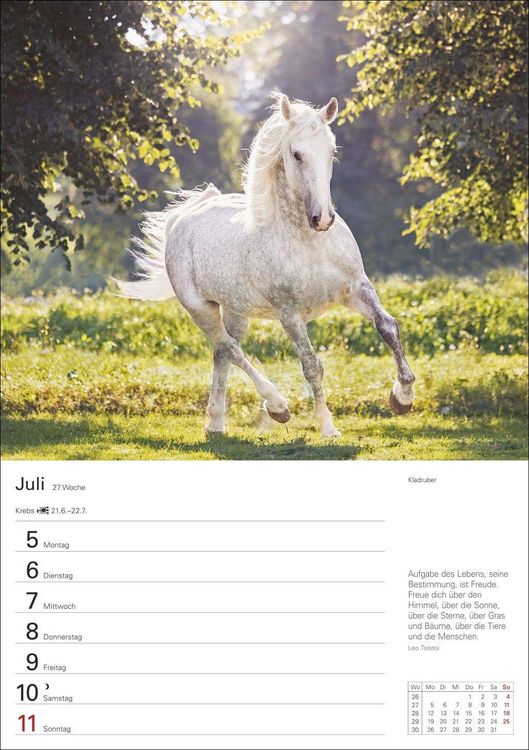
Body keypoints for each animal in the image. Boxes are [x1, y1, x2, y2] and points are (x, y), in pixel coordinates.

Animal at [117, 92, 415, 437]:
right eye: (297, 154)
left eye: (331, 151)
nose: (323, 218)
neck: (309, 244)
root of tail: (182, 217)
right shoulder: (289, 313)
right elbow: (311, 365)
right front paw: (327, 426)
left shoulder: (356, 289)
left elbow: (388, 326)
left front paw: (403, 397)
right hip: (200, 308)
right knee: (230, 348)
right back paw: (276, 406)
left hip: (236, 310)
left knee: (222, 353)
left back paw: (216, 423)